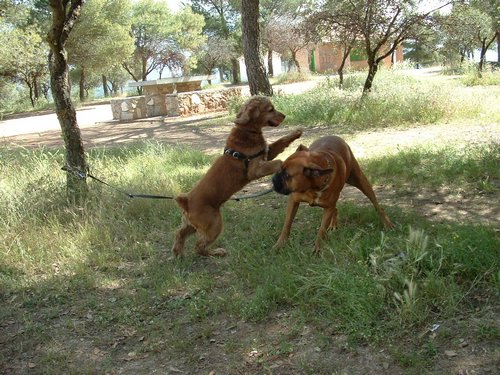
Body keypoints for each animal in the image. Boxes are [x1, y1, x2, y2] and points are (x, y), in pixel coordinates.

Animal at [172, 95, 302, 258]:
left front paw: (296, 132)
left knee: (179, 233)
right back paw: (216, 252)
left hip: (191, 225)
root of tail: (186, 202)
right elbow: (278, 162)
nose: (284, 115)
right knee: (199, 245)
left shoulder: (267, 152)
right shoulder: (255, 169)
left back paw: (177, 253)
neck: (247, 130)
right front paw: (288, 163)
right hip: (214, 224)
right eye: (270, 109)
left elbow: (281, 142)